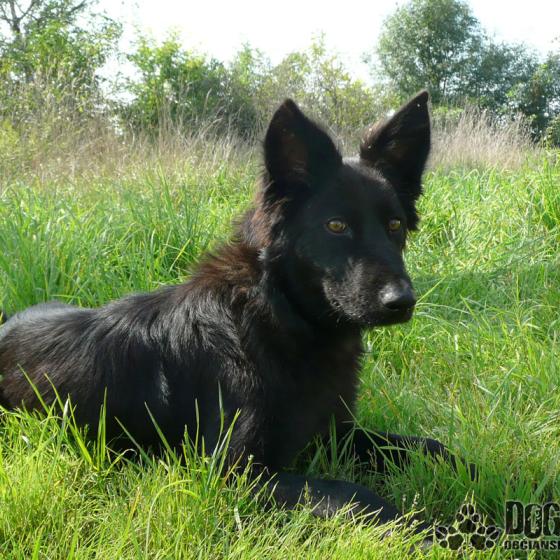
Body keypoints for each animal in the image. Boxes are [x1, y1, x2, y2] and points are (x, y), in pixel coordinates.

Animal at [0, 91, 463, 526]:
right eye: (336, 226)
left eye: (395, 225)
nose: (402, 302)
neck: (278, 317)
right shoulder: (234, 472)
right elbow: (354, 494)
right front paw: (443, 532)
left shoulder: (336, 433)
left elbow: (435, 448)